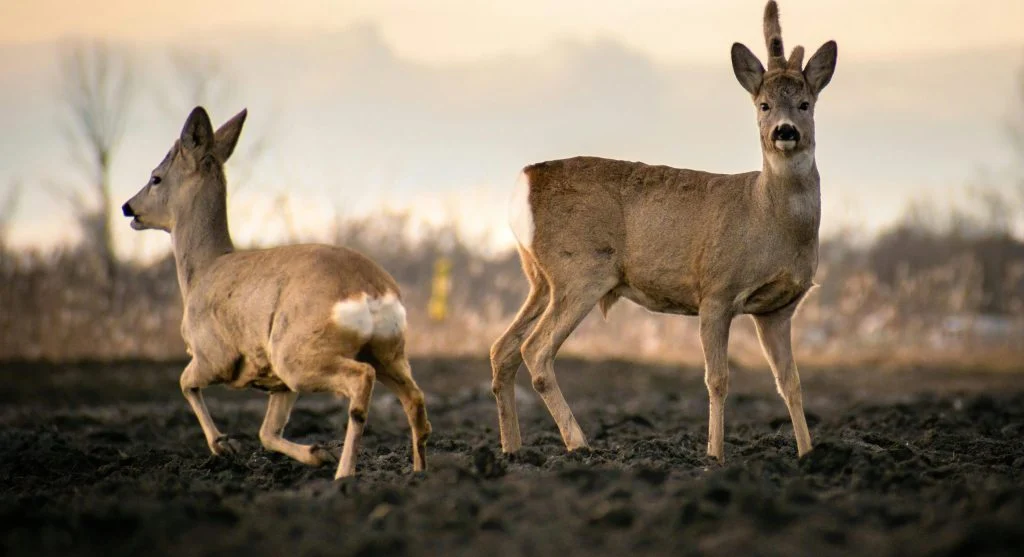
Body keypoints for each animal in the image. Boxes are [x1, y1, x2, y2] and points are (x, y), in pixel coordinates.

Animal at [121, 107, 431, 478]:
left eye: (155, 178)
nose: (128, 207)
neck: (203, 269)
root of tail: (370, 290)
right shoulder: (276, 382)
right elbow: (267, 432)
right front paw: (315, 452)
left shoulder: (214, 355)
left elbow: (184, 382)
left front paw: (224, 445)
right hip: (387, 351)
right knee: (415, 399)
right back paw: (418, 472)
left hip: (297, 352)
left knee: (361, 382)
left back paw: (344, 474)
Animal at [490, 0, 837, 462]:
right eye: (763, 104)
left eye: (804, 103)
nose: (785, 131)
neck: (767, 217)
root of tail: (523, 184)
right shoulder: (716, 290)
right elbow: (717, 379)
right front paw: (714, 456)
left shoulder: (778, 308)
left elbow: (791, 383)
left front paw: (807, 454)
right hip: (581, 269)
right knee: (536, 350)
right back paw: (578, 443)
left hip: (541, 278)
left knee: (503, 349)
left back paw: (512, 450)